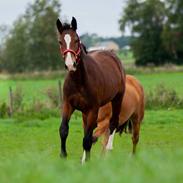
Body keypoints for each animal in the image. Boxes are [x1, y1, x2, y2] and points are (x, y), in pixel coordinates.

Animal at [56, 17, 126, 163]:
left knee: (113, 122)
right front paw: (63, 155)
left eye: (76, 39)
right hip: (84, 112)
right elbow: (64, 130)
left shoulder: (93, 109)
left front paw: (87, 162)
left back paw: (109, 150)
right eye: (60, 41)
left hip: (117, 98)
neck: (79, 81)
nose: (70, 65)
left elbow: (87, 139)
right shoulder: (68, 105)